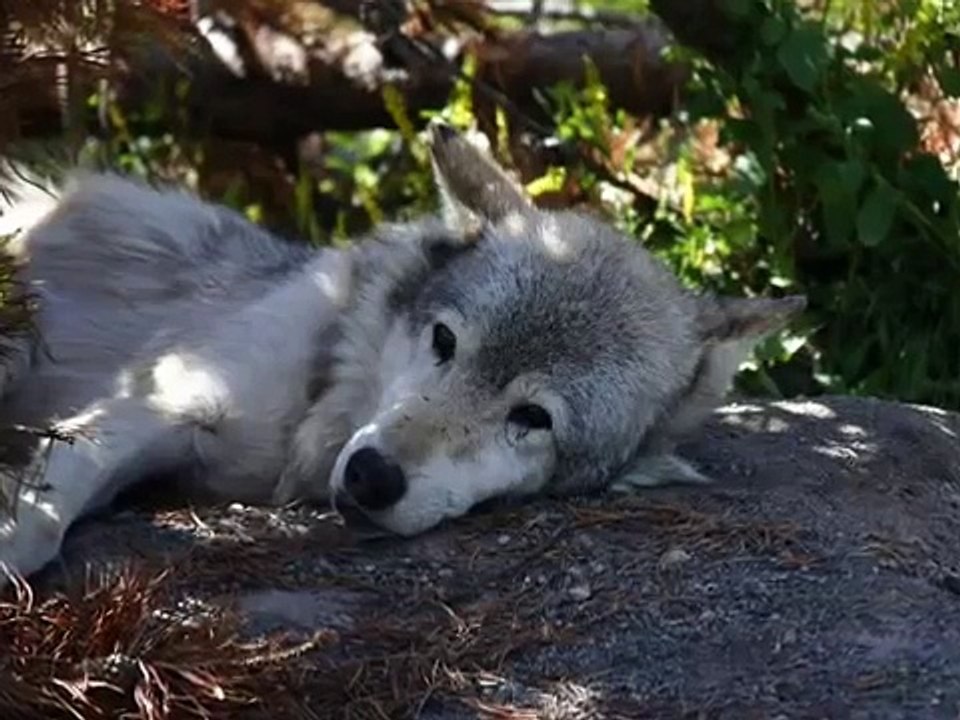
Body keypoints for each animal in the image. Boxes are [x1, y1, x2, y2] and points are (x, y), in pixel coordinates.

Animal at [0, 124, 805, 585]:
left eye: (533, 418)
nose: (371, 475)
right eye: (444, 341)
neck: (322, 385)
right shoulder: (160, 396)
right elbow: (45, 506)